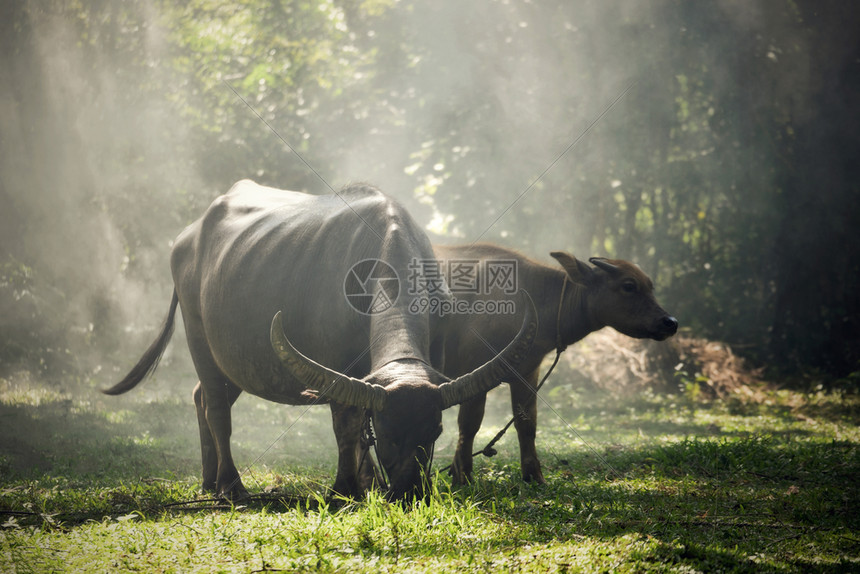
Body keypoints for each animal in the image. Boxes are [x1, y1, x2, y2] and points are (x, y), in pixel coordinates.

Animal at [104, 182, 536, 502]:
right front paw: (345, 488)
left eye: (434, 432)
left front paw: (367, 484)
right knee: (215, 408)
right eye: (389, 431)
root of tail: (187, 238)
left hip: (237, 359)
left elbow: (359, 426)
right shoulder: (338, 369)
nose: (410, 492)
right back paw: (230, 486)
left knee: (201, 397)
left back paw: (209, 480)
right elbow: (347, 426)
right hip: (198, 336)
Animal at [434, 243, 676, 486]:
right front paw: (462, 476)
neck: (530, 298)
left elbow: (527, 423)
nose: (670, 322)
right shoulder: (473, 367)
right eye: (629, 285)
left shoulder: (527, 373)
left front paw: (534, 476)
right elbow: (469, 423)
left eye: (650, 286)